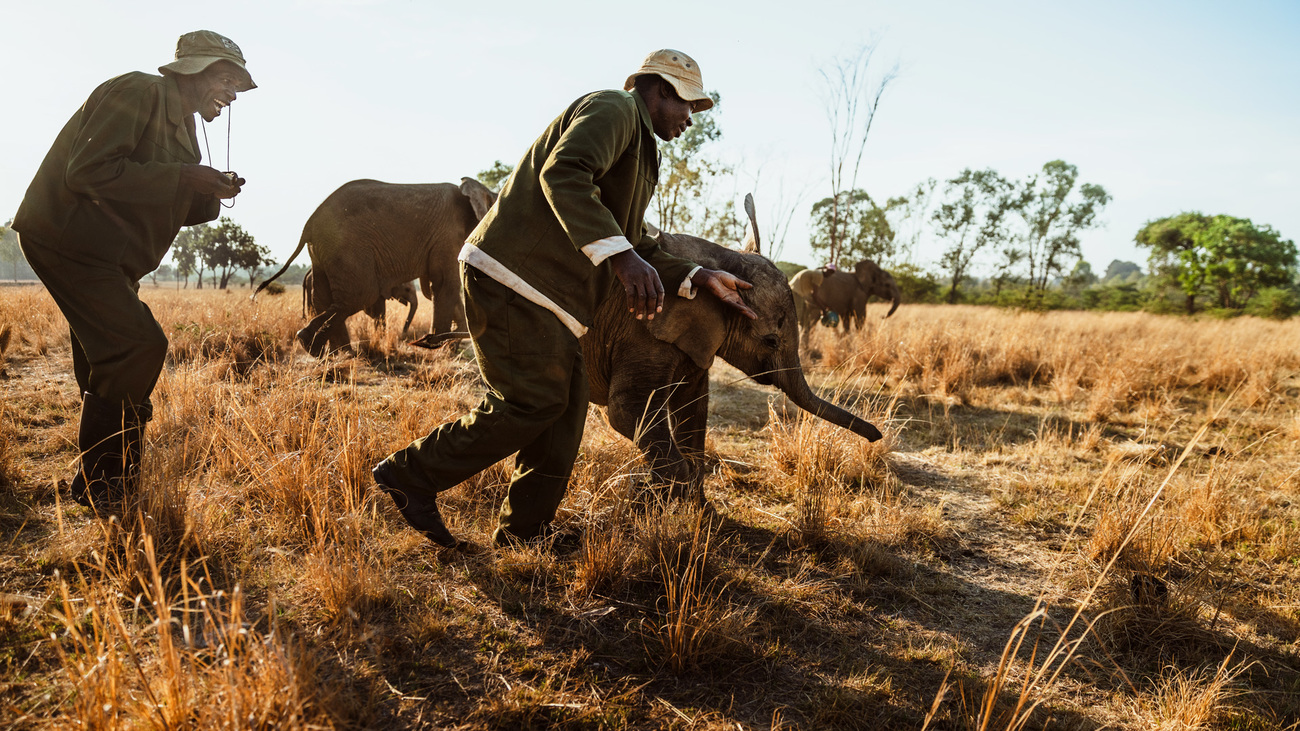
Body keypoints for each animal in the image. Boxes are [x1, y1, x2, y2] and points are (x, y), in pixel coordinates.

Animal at [250, 178, 493, 356]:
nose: (409, 337)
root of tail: (308, 224)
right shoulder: (448, 234)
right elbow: (444, 283)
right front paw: (441, 348)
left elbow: (437, 287)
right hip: (347, 248)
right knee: (359, 295)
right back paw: (319, 347)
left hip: (322, 252)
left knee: (329, 298)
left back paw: (323, 349)